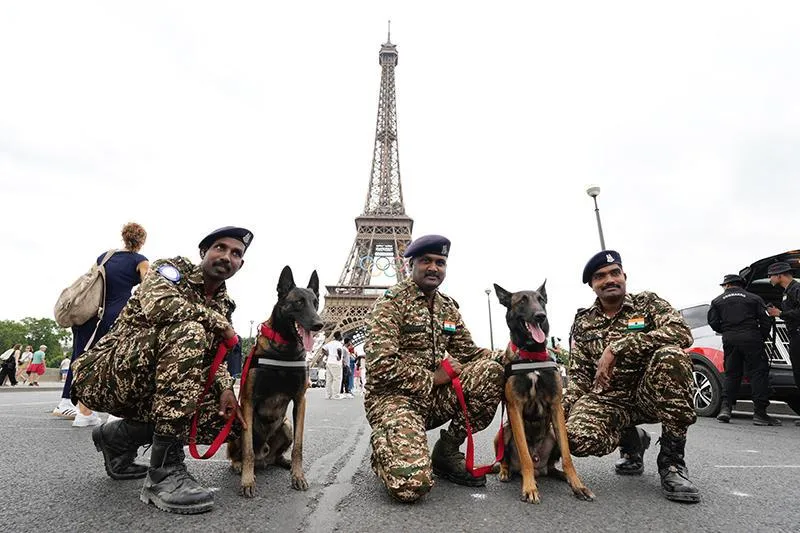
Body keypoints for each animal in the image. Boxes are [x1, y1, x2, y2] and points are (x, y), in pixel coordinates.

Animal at [227, 268, 324, 496]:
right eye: (298, 302)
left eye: (315, 302)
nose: (319, 324)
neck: (284, 350)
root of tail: (265, 459)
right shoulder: (248, 401)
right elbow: (248, 450)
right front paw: (247, 481)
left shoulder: (300, 401)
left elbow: (298, 446)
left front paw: (298, 476)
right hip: (236, 423)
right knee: (241, 454)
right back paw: (238, 465)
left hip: (286, 425)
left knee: (277, 455)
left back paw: (284, 462)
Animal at [490, 282, 592, 502]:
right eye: (522, 301)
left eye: (541, 300)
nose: (540, 316)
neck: (531, 355)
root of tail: (540, 468)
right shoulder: (515, 407)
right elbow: (525, 456)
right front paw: (529, 488)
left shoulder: (555, 406)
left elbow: (568, 456)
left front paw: (578, 485)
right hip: (503, 431)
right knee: (506, 460)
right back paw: (505, 472)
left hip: (552, 433)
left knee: (552, 467)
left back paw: (562, 476)